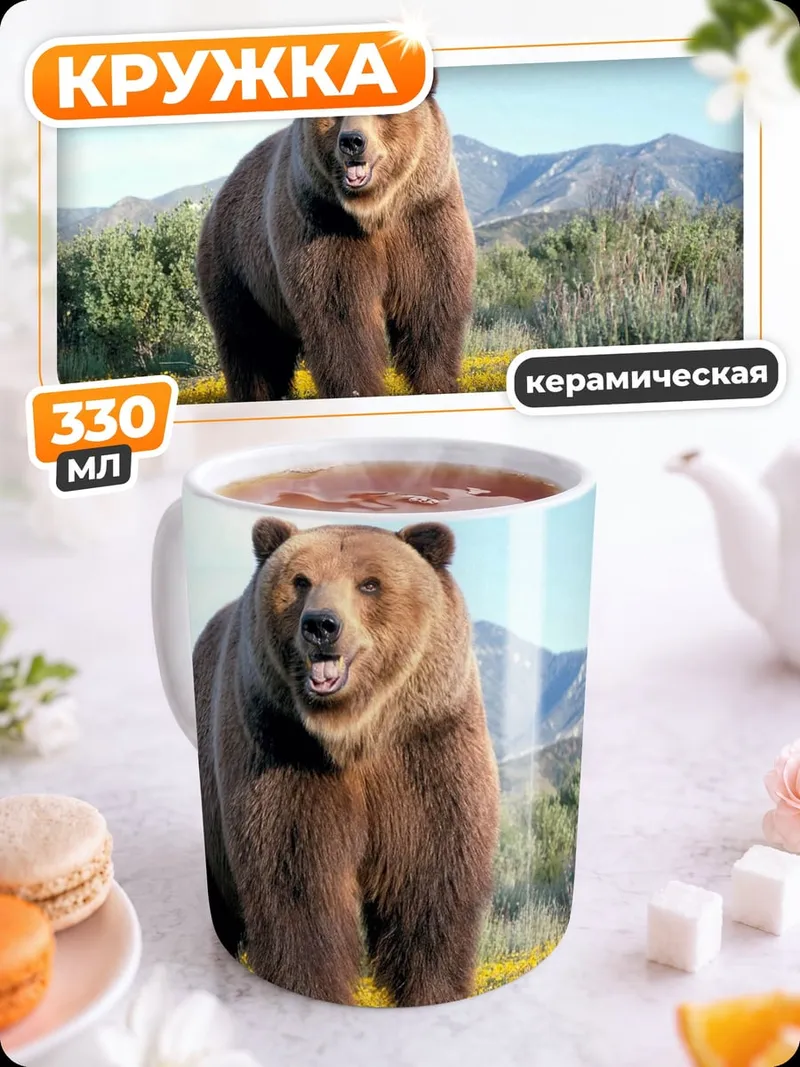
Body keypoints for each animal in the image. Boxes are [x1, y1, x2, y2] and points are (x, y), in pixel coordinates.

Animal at [193, 519, 500, 1007]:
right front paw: (313, 986)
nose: (321, 624)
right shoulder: (281, 751)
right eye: (300, 580)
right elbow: (298, 888)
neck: (354, 734)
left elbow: (430, 885)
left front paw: (432, 990)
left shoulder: (428, 747)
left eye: (370, 583)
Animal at [195, 73, 477, 403]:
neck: (375, 213)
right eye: (336, 113)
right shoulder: (324, 227)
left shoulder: (424, 220)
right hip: (237, 269)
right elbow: (341, 318)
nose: (352, 142)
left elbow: (429, 306)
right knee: (251, 346)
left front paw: (438, 384)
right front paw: (357, 391)